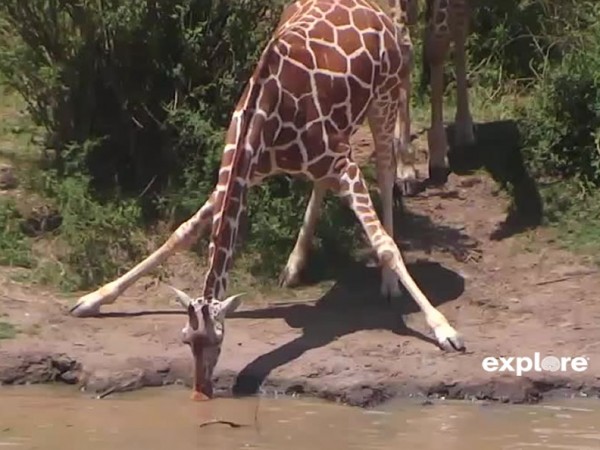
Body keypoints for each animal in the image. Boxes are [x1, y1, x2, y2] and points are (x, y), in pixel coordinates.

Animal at [69, 0, 464, 400]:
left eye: (218, 340)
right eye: (185, 339)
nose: (201, 391)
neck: (264, 119)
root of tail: (377, 10)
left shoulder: (343, 165)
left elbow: (384, 244)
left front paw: (444, 329)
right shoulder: (252, 170)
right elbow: (181, 233)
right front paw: (94, 299)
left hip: (382, 101)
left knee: (385, 170)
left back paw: (387, 281)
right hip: (346, 125)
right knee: (328, 181)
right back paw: (294, 266)